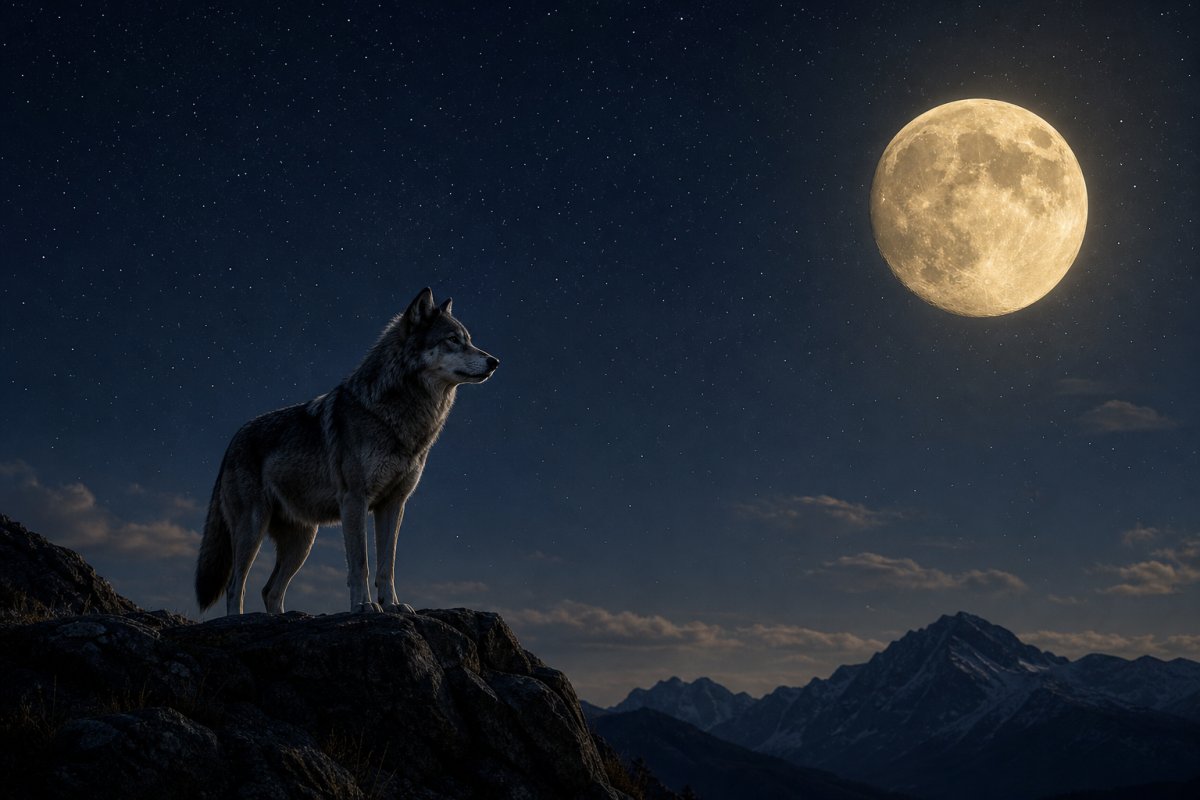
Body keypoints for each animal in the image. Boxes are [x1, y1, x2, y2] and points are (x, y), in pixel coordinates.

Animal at [195, 288, 498, 615]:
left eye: (469, 340)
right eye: (453, 339)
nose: (494, 361)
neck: (398, 414)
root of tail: (233, 439)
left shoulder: (394, 504)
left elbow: (387, 566)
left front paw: (392, 605)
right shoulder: (355, 500)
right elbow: (360, 564)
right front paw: (364, 606)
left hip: (302, 540)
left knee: (269, 591)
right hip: (253, 527)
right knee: (235, 585)